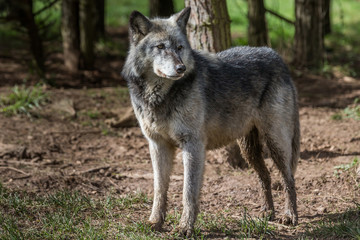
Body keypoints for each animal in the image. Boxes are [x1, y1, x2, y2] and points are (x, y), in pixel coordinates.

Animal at [122, 7, 300, 236]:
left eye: (180, 47)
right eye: (160, 47)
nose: (180, 68)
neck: (160, 97)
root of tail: (277, 57)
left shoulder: (193, 145)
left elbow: (188, 192)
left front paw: (185, 227)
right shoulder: (158, 145)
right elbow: (159, 189)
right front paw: (155, 222)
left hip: (275, 142)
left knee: (289, 178)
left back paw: (290, 216)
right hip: (249, 149)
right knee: (266, 176)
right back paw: (267, 213)